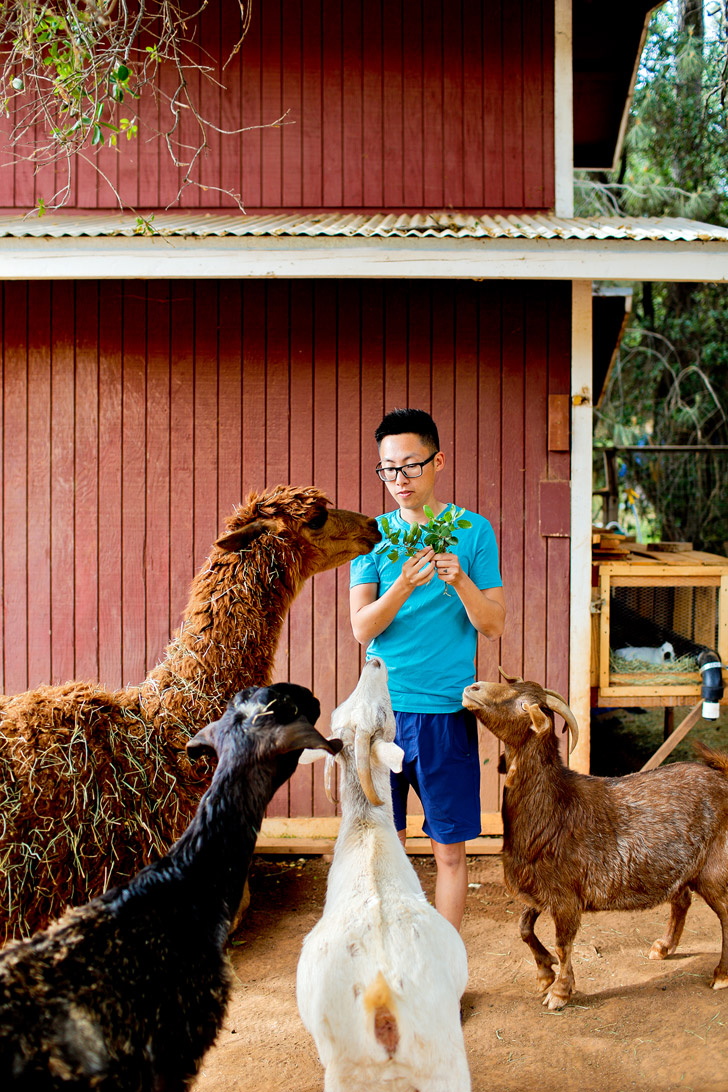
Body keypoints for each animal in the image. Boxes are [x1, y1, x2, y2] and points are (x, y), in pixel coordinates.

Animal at [296, 655, 473, 1092]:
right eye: (384, 714)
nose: (374, 660)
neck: (368, 832)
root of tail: (382, 999)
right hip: (443, 1060)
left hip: (346, 1072)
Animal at [464, 672, 728, 1013]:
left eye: (525, 705)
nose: (472, 688)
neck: (554, 808)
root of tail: (723, 779)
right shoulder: (538, 889)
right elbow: (523, 928)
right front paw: (544, 972)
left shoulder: (566, 898)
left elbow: (564, 945)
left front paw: (560, 992)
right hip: (679, 867)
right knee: (682, 900)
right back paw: (664, 947)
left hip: (714, 868)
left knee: (724, 913)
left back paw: (720, 975)